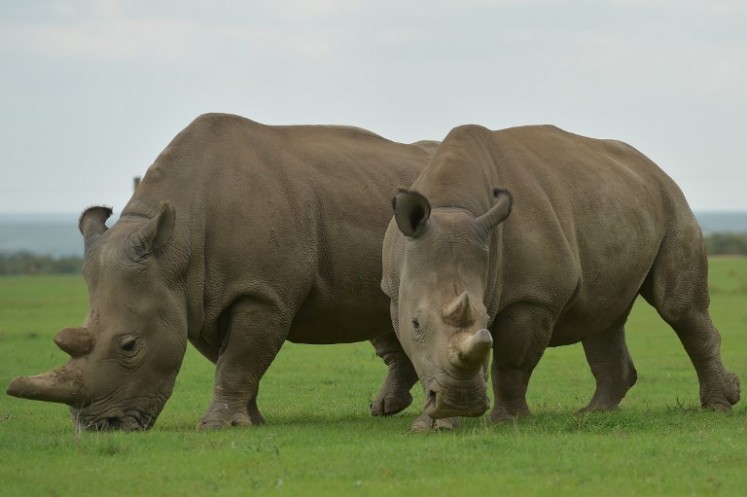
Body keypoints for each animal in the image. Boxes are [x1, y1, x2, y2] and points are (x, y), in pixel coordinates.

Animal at [6, 113, 436, 431]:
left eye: (129, 346)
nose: (99, 427)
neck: (174, 248)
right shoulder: (195, 300)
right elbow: (232, 359)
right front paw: (250, 421)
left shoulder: (260, 293)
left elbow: (238, 359)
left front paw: (218, 426)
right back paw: (385, 409)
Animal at [382, 123, 740, 432]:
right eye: (416, 323)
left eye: (487, 318)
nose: (462, 402)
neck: (452, 206)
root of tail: (652, 167)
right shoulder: (396, 293)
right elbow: (422, 355)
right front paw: (430, 426)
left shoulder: (535, 297)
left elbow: (512, 361)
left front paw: (505, 422)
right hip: (618, 203)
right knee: (602, 317)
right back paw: (594, 414)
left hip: (673, 202)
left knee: (679, 308)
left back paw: (718, 406)